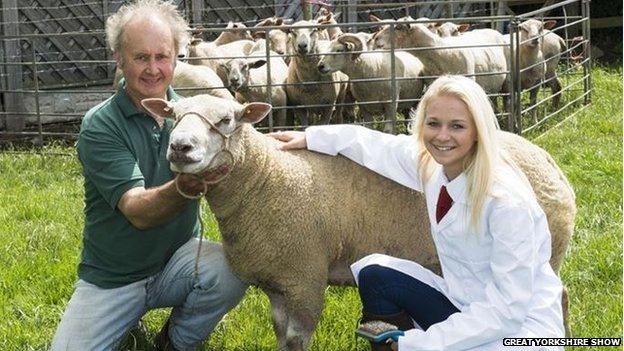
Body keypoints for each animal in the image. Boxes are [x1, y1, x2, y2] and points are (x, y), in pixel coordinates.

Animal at [141, 95, 576, 350]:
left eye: (227, 120)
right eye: (173, 116)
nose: (180, 148)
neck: (266, 176)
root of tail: (550, 162)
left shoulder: (305, 277)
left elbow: (297, 340)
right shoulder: (279, 281)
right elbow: (282, 335)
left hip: (547, 255)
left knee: (554, 298)